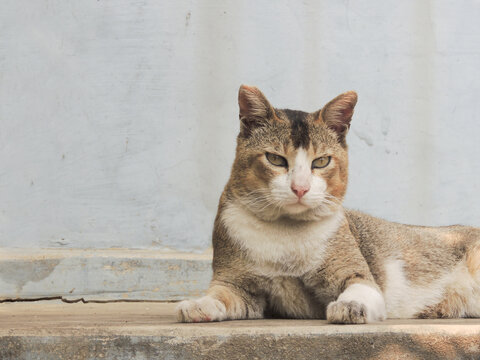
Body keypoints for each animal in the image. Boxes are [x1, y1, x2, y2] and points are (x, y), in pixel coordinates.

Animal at [176, 84, 480, 324]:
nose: (300, 188)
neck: (286, 232)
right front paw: (197, 305)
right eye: (275, 159)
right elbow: (220, 296)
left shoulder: (358, 275)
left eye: (321, 161)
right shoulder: (237, 285)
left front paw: (350, 306)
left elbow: (360, 292)